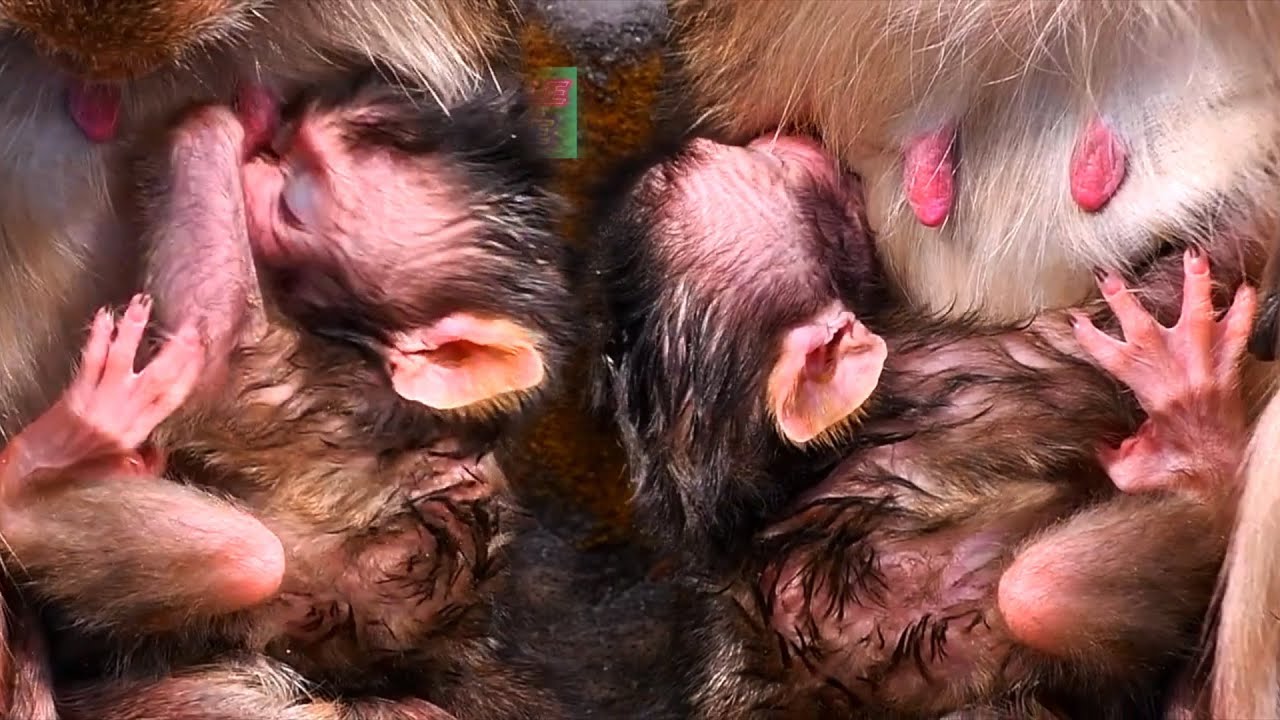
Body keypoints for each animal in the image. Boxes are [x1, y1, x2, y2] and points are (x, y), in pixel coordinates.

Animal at [0, 69, 578, 720]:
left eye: (293, 208)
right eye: (286, 153)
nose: (260, 155)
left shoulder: (337, 399)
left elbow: (219, 349)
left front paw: (221, 120)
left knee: (252, 559)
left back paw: (40, 462)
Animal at [588, 134, 1258, 718]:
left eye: (731, 152)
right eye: (774, 171)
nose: (786, 141)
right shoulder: (961, 371)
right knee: (1037, 593)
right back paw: (1196, 429)